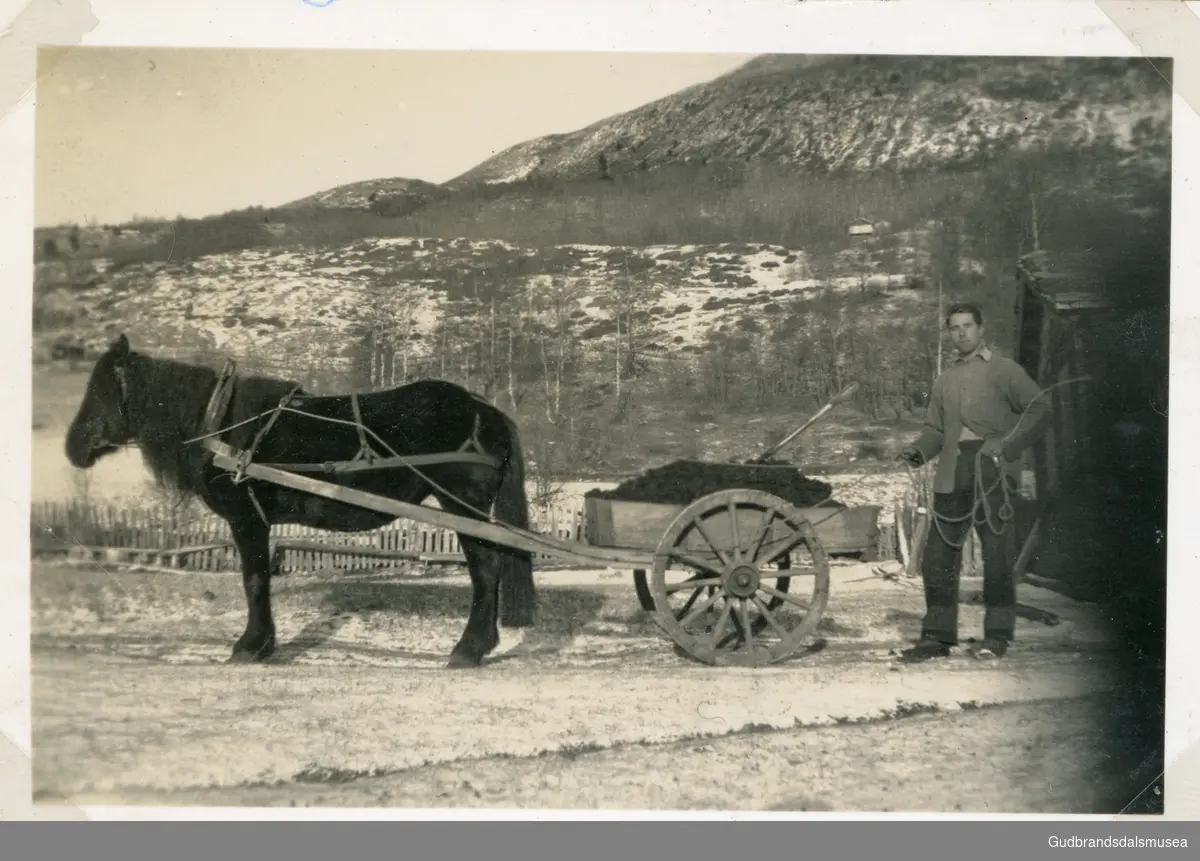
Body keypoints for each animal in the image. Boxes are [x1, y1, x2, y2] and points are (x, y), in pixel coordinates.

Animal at [63, 335, 537, 666]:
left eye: (100, 389)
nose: (72, 447)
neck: (221, 424)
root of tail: (482, 408)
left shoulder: (246, 517)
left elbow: (255, 581)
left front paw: (251, 645)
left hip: (462, 503)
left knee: (485, 569)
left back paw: (469, 648)